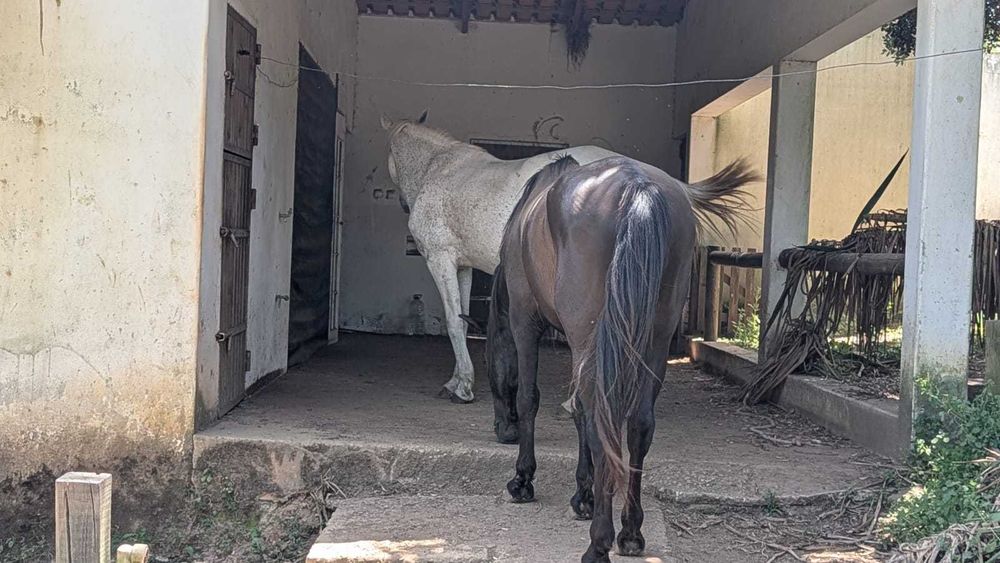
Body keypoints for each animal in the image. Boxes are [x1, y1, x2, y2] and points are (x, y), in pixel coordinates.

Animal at [381, 112, 620, 405]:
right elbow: (462, 319)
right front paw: (456, 381)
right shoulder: (463, 266)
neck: (435, 169)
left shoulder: (440, 259)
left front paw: (463, 389)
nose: (403, 204)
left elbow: (452, 322)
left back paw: (574, 401)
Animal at [489, 154, 756, 562]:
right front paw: (583, 495)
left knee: (606, 424)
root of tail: (638, 188)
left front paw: (524, 480)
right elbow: (579, 411)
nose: (501, 430)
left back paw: (599, 544)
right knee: (639, 425)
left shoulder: (524, 322)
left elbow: (530, 399)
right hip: (653, 343)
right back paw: (630, 531)